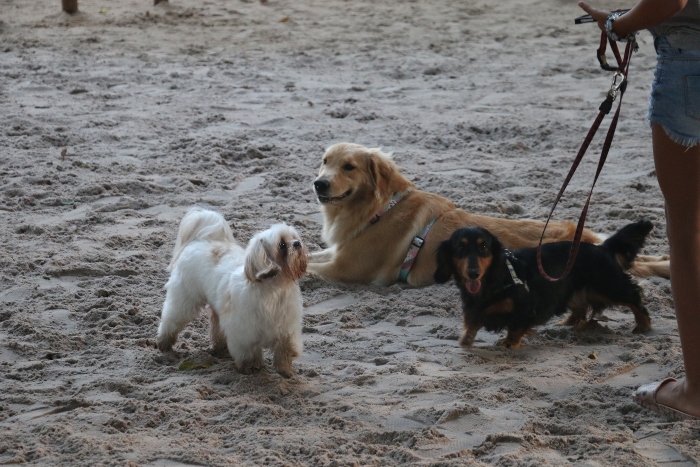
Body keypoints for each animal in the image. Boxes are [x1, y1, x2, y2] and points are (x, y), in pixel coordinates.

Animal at [157, 207, 308, 376]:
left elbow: (285, 350)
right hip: (184, 299)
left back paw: (220, 348)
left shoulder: (286, 329)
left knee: (216, 326)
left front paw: (285, 371)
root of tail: (200, 240)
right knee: (171, 319)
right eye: (282, 245)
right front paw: (251, 367)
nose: (297, 243)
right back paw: (164, 343)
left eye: (294, 237)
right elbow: (248, 352)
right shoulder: (244, 331)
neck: (274, 290)